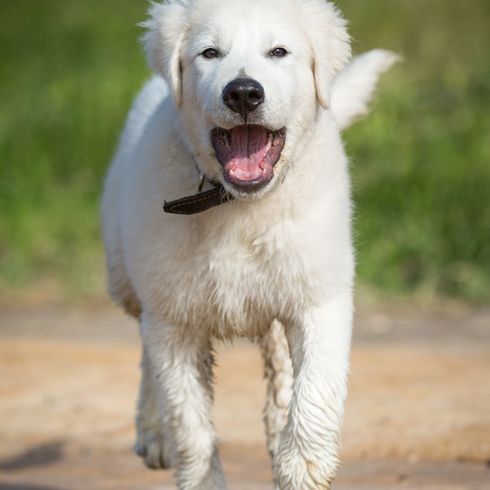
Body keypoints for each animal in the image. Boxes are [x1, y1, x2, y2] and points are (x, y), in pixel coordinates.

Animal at [101, 1, 396, 488]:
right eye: (209, 53)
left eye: (279, 51)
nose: (243, 93)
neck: (240, 204)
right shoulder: (174, 318)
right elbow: (189, 421)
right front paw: (199, 471)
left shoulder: (320, 292)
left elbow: (315, 389)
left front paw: (301, 469)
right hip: (127, 275)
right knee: (146, 346)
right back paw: (154, 429)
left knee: (280, 362)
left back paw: (278, 431)